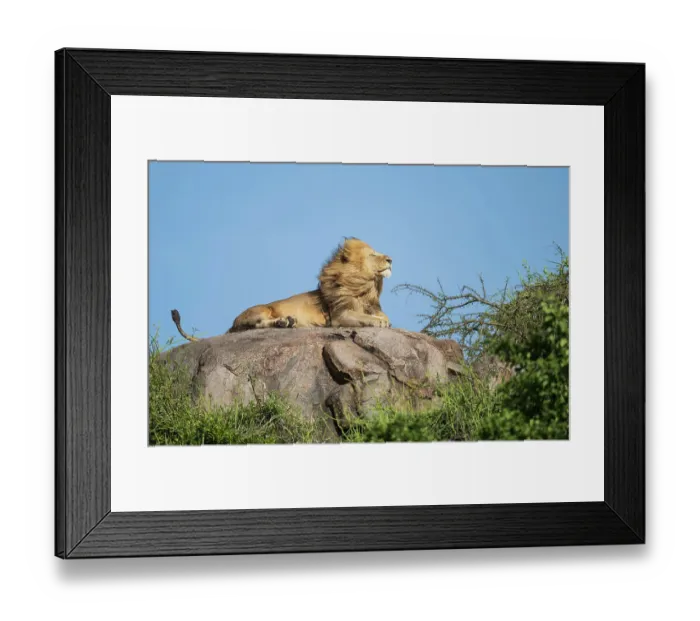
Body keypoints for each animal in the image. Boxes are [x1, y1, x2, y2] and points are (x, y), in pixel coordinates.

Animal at [171, 237, 393, 342]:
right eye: (373, 255)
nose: (391, 259)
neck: (366, 288)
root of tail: (232, 324)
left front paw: (383, 319)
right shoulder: (339, 316)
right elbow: (364, 318)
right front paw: (379, 322)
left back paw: (288, 322)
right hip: (262, 309)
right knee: (258, 325)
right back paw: (284, 322)